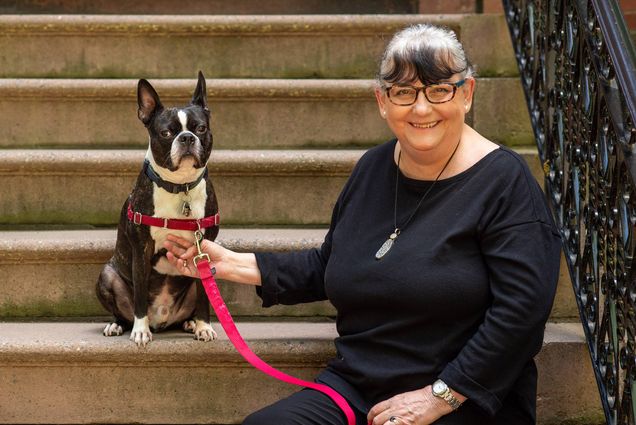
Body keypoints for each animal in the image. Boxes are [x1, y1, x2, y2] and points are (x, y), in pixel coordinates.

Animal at [95, 72, 220, 344]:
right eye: (166, 132)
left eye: (201, 128)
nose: (186, 137)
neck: (180, 187)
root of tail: (162, 319)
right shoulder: (141, 250)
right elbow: (140, 295)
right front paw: (141, 331)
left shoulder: (203, 250)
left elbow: (204, 296)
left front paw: (204, 326)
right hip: (107, 275)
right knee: (124, 310)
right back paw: (118, 324)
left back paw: (190, 322)